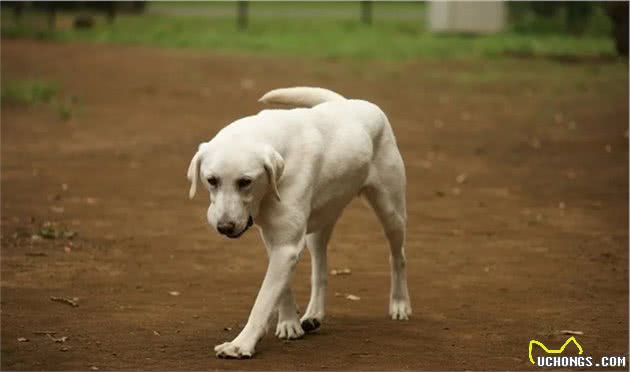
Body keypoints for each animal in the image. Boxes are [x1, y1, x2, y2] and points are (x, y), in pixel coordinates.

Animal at [188, 86, 412, 358]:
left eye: (245, 181)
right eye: (211, 180)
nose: (224, 227)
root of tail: (348, 102)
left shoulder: (285, 246)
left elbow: (263, 299)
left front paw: (240, 344)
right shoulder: (276, 240)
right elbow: (282, 288)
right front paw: (289, 323)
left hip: (391, 211)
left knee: (397, 256)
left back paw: (399, 304)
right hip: (321, 222)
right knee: (320, 268)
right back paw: (314, 315)